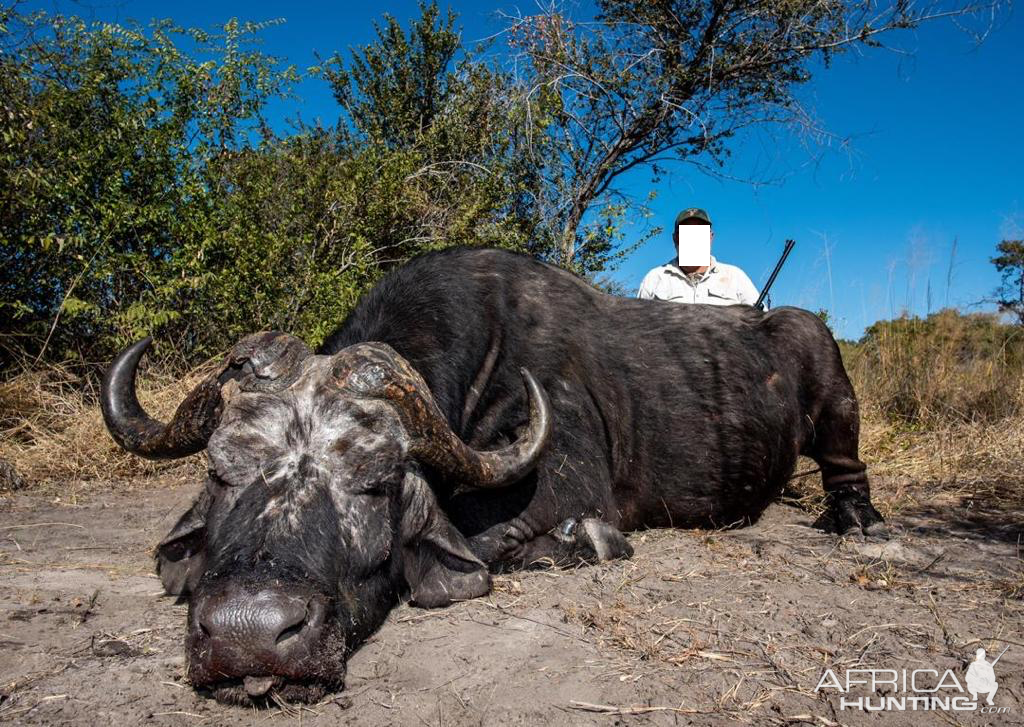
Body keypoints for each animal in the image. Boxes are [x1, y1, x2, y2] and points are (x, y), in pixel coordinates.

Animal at [99, 246, 884, 704]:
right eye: (221, 470)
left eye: (377, 481)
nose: (250, 632)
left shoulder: (573, 490)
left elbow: (520, 537)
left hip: (835, 395)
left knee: (847, 466)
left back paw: (856, 519)